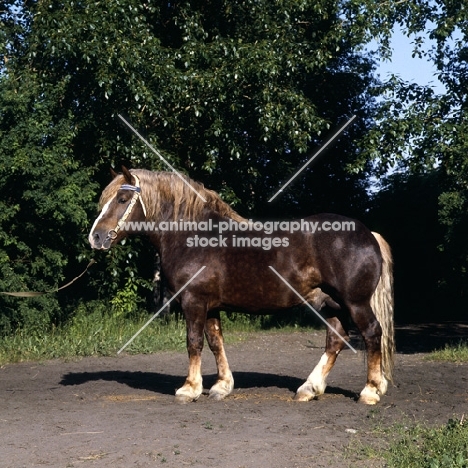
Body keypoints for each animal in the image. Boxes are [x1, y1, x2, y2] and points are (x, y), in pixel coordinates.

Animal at [88, 166, 394, 404]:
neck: (192, 236)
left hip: (355, 303)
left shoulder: (193, 301)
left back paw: (370, 391)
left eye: (123, 198)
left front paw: (189, 388)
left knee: (371, 333)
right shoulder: (210, 306)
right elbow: (215, 342)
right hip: (331, 303)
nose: (96, 237)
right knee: (336, 340)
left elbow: (194, 342)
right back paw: (310, 388)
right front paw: (221, 386)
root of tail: (368, 234)